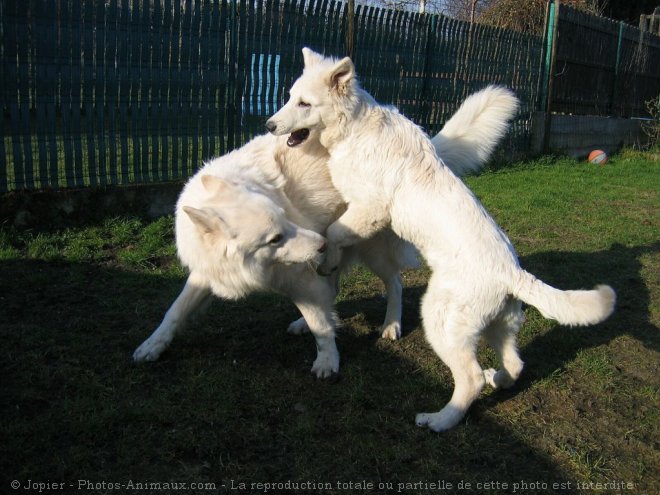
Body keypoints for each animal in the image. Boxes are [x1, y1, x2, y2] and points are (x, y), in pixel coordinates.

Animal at [266, 48, 616, 432]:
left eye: (304, 103)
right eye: (289, 97)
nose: (269, 126)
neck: (355, 127)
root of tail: (512, 273)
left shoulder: (370, 208)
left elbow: (333, 233)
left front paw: (326, 261)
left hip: (441, 320)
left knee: (470, 377)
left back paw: (441, 419)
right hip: (500, 325)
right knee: (515, 364)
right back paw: (497, 380)